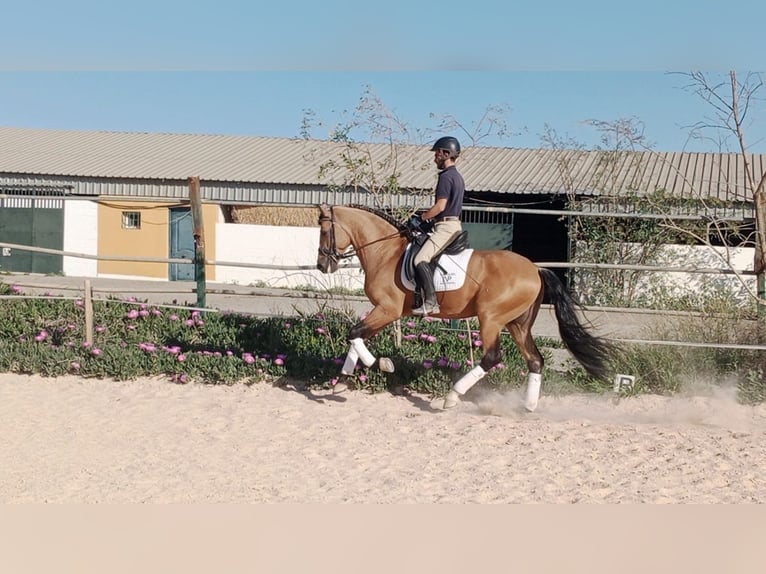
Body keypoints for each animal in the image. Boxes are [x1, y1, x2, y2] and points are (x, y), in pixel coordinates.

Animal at [316, 205, 616, 412]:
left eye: (324, 231)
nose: (322, 265)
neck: (387, 252)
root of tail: (536, 269)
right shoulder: (383, 311)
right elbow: (356, 335)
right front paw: (342, 380)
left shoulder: (388, 310)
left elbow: (354, 333)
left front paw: (381, 364)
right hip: (518, 324)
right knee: (535, 360)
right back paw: (528, 406)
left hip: (491, 318)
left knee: (492, 357)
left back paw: (452, 396)